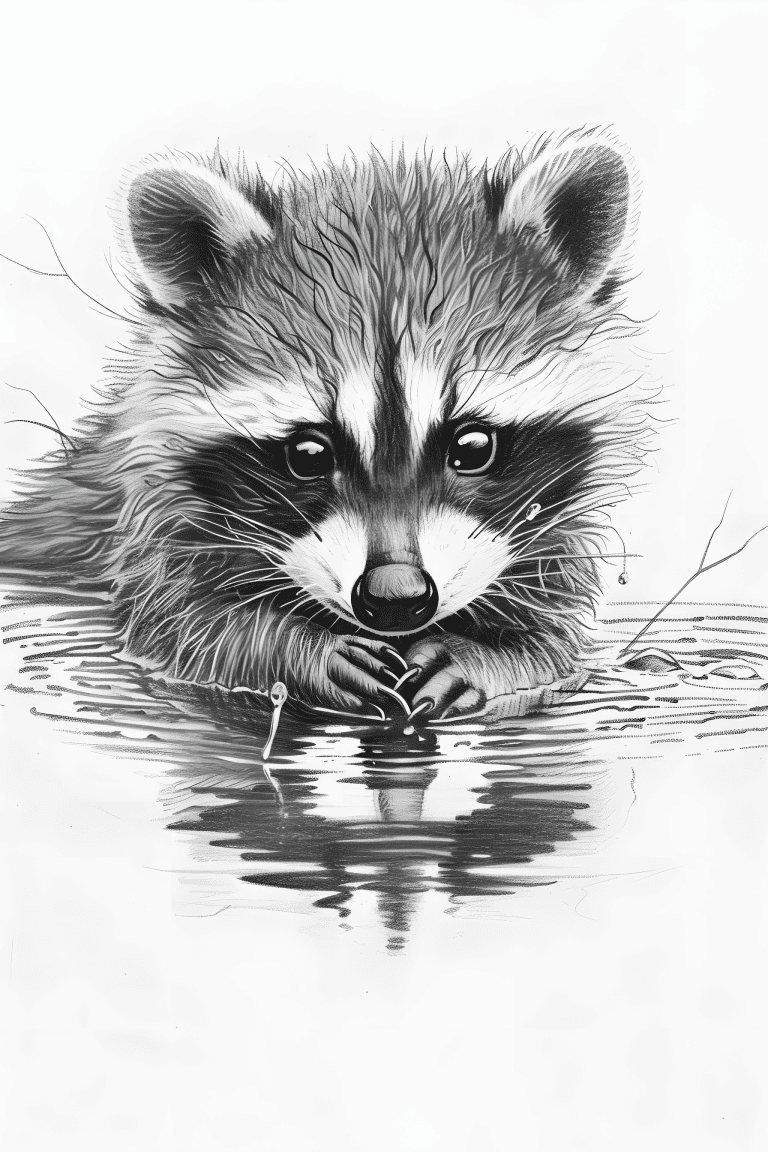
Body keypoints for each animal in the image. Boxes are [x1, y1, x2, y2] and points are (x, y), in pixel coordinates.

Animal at [0, 130, 650, 721]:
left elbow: (552, 650)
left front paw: (488, 657)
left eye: (472, 447)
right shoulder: (148, 530)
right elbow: (189, 631)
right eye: (308, 454)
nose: (396, 597)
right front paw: (293, 650)